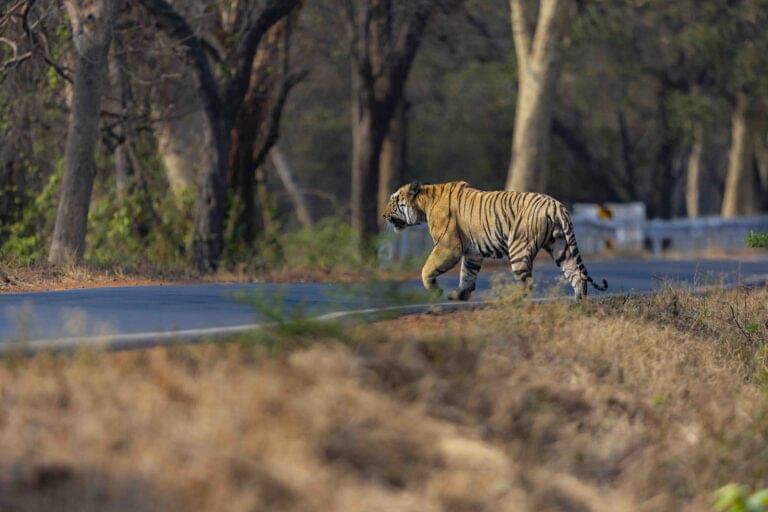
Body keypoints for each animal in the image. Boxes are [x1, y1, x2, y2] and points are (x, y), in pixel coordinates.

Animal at [382, 181, 608, 300]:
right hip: (560, 246)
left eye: (393, 200)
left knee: (527, 283)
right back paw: (578, 301)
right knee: (576, 274)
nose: (383, 215)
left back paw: (515, 300)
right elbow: (467, 274)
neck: (424, 204)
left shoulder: (448, 246)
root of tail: (556, 205)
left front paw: (436, 290)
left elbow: (427, 268)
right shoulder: (472, 252)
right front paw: (459, 295)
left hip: (519, 247)